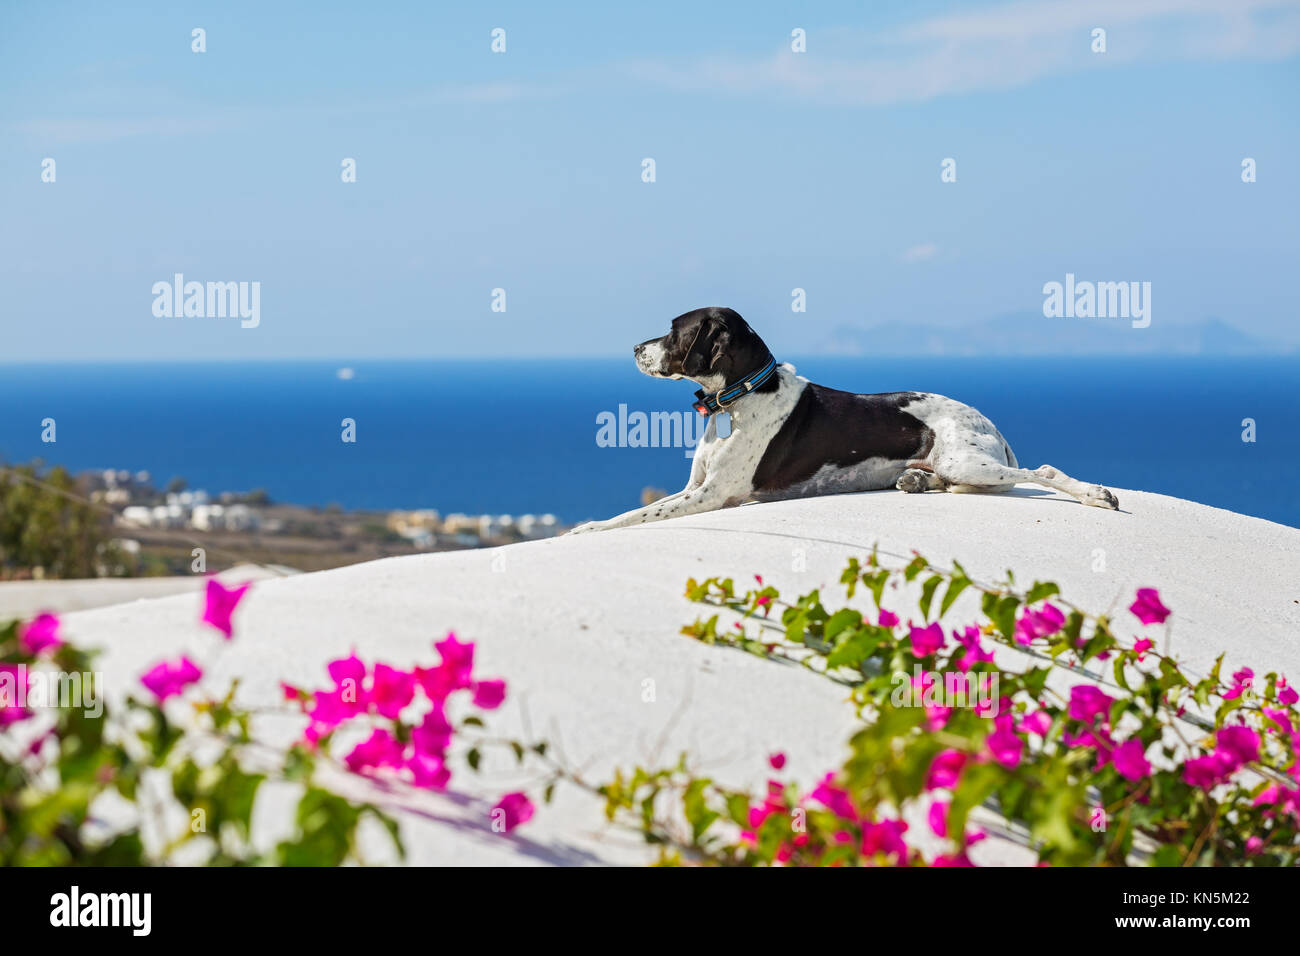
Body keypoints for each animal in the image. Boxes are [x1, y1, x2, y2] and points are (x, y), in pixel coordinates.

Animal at [569, 312, 1118, 538]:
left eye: (673, 331)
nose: (634, 347)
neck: (740, 398)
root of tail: (993, 425)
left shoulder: (713, 495)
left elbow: (638, 514)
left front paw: (590, 527)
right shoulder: (695, 487)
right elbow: (644, 508)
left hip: (968, 459)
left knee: (1044, 473)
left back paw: (1097, 494)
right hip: (958, 465)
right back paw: (916, 481)